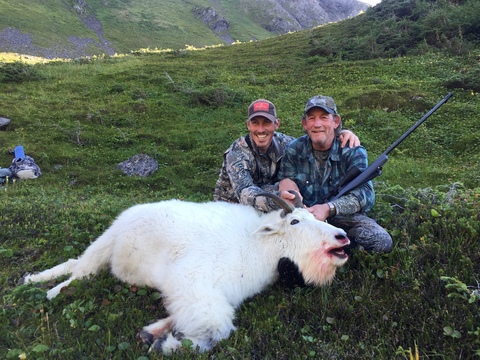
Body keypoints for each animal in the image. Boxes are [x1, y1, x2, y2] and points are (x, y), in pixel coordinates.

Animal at [23, 194, 348, 354]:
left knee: (74, 262)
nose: (342, 237)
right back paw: (48, 288)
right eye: (295, 221)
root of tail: (127, 216)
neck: (256, 245)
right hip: (105, 243)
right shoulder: (193, 284)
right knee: (80, 269)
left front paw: (152, 333)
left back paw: (32, 279)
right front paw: (166, 344)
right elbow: (218, 330)